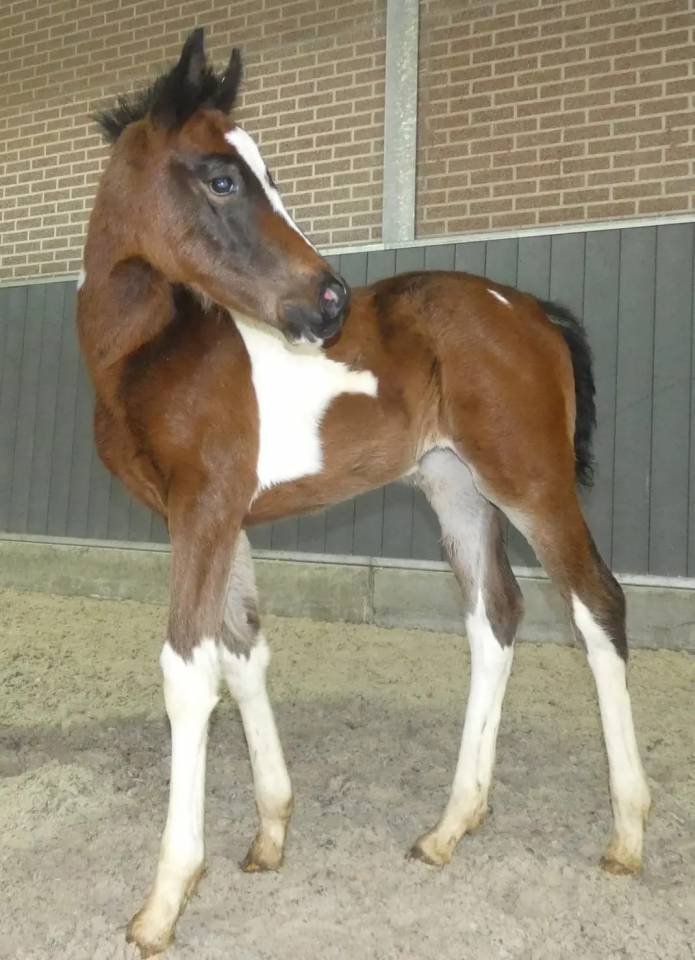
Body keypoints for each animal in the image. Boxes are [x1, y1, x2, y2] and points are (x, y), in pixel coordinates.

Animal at [76, 28, 650, 957]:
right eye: (222, 178)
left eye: (266, 171)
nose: (329, 301)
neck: (151, 350)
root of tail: (527, 306)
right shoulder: (217, 516)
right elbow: (242, 651)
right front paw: (270, 833)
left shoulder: (203, 509)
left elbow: (189, 673)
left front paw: (165, 899)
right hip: (455, 489)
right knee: (494, 617)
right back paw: (450, 827)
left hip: (528, 480)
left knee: (595, 606)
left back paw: (626, 834)